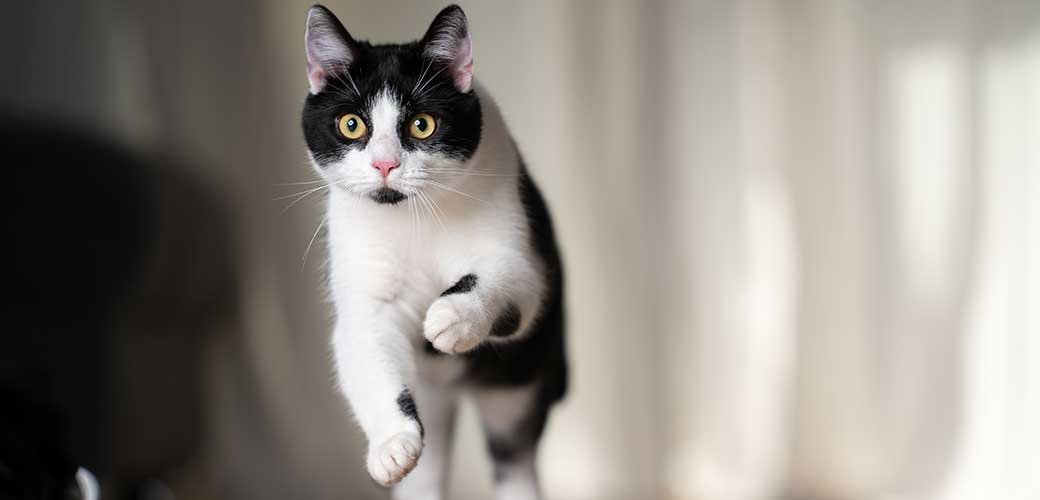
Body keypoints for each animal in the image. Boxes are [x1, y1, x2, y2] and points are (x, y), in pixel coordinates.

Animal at [301, 3, 569, 498]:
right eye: (352, 124)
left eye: (421, 125)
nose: (385, 164)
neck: (413, 219)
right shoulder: (365, 293)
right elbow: (366, 347)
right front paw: (392, 443)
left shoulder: (523, 258)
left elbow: (505, 277)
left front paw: (454, 317)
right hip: (432, 397)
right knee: (427, 474)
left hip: (517, 385)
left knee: (515, 460)